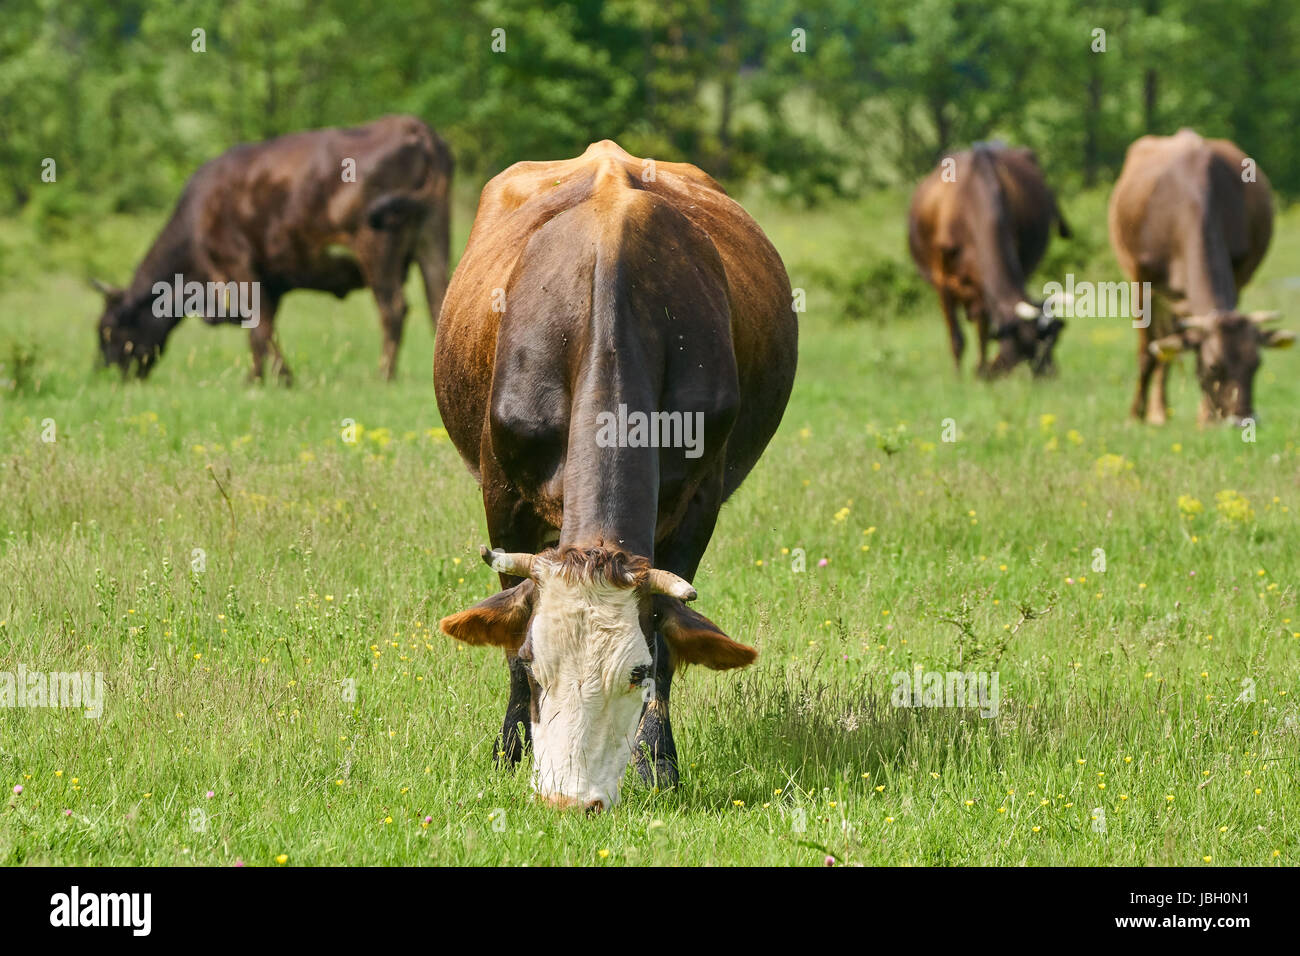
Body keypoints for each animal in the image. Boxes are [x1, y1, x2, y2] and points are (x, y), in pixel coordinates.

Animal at [93, 115, 452, 382]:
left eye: (108, 330)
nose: (104, 374)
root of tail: (413, 126)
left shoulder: (239, 266)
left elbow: (259, 327)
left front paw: (277, 379)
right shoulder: (270, 281)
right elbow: (260, 328)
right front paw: (260, 378)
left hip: (377, 244)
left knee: (392, 308)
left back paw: (384, 376)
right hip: (433, 235)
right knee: (439, 300)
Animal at [434, 140, 797, 812]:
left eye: (636, 673)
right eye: (536, 664)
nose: (569, 800)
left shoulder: (699, 500)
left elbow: (669, 635)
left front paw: (657, 763)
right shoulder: (501, 494)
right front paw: (509, 751)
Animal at [908, 142, 1072, 377]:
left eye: (1054, 340)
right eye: (1027, 343)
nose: (1051, 375)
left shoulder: (984, 285)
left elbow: (984, 332)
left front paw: (980, 370)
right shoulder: (942, 280)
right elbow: (957, 337)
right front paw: (958, 377)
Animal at [1109, 129, 1294, 425]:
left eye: (1256, 364)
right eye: (1213, 366)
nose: (1243, 420)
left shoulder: (1238, 274)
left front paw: (1205, 417)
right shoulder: (1141, 281)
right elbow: (1148, 351)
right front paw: (1135, 416)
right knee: (1162, 344)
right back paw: (1157, 412)